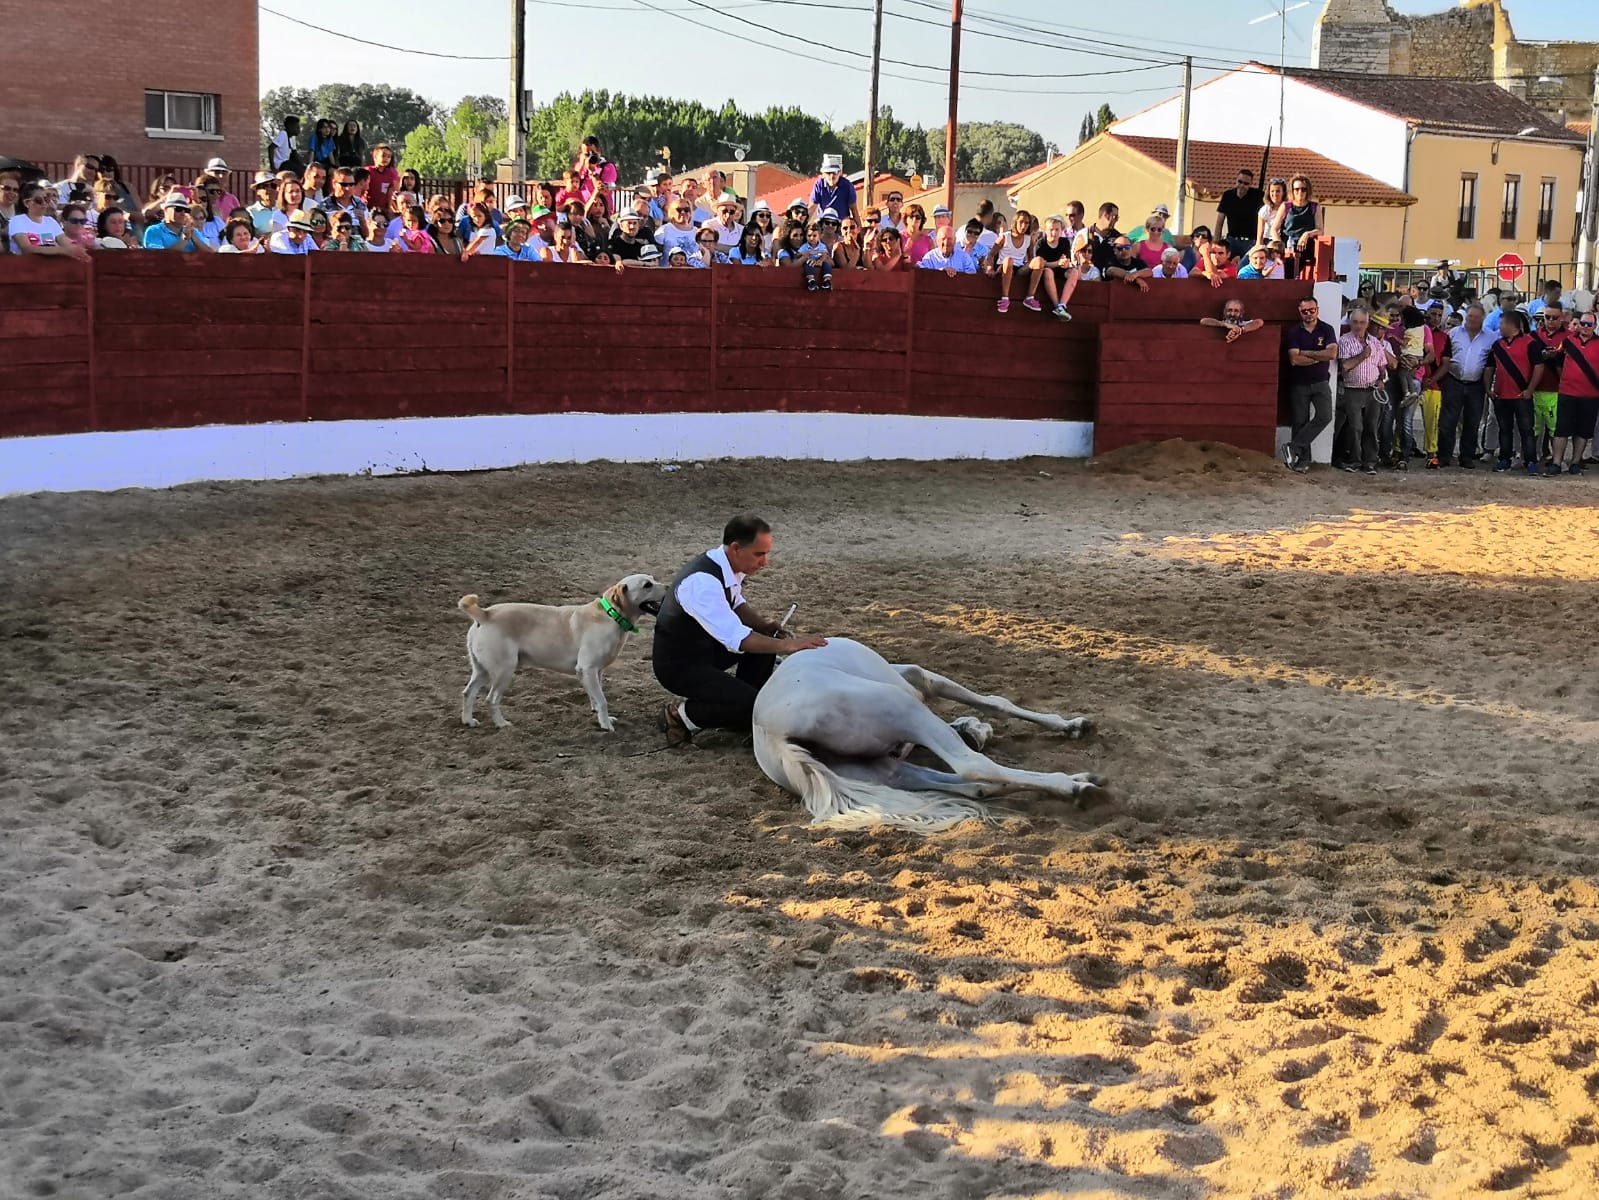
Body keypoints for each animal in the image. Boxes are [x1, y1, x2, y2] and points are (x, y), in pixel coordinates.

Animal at [748, 643, 1100, 832]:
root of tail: (776, 735)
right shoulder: (926, 680)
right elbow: (996, 702)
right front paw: (1073, 725)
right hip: (907, 710)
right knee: (974, 767)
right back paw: (1078, 787)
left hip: (879, 771)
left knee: (975, 785)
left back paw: (1078, 781)